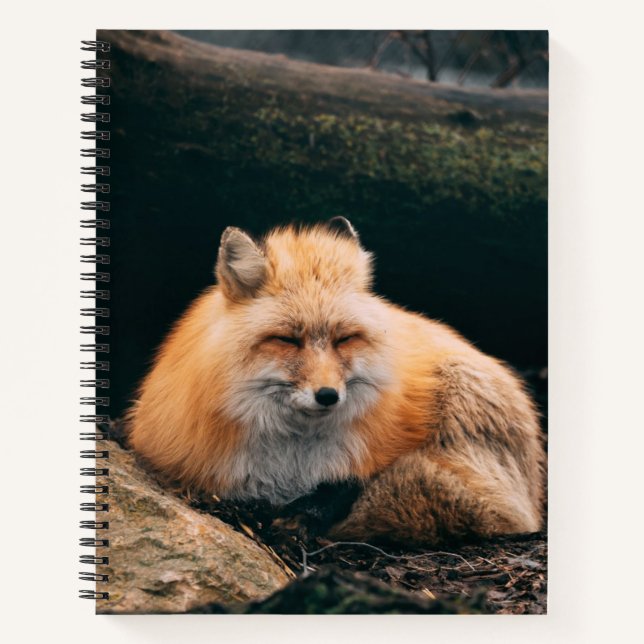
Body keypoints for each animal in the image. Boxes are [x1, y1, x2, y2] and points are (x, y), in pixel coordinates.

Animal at [128, 217, 545, 546]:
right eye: (287, 339)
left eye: (344, 338)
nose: (328, 395)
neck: (291, 462)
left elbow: (345, 486)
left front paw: (305, 515)